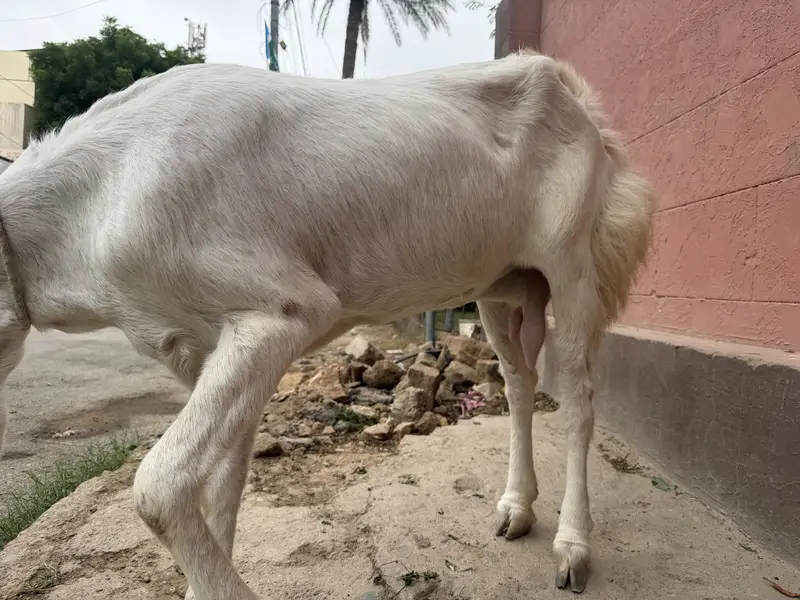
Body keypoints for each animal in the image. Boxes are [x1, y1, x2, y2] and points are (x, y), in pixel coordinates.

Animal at [0, 50, 655, 598]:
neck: (100, 197)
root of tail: (571, 91)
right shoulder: (200, 349)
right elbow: (222, 479)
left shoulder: (282, 312)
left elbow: (160, 486)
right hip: (500, 283)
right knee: (519, 382)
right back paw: (517, 508)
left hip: (572, 263)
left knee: (577, 398)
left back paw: (572, 546)